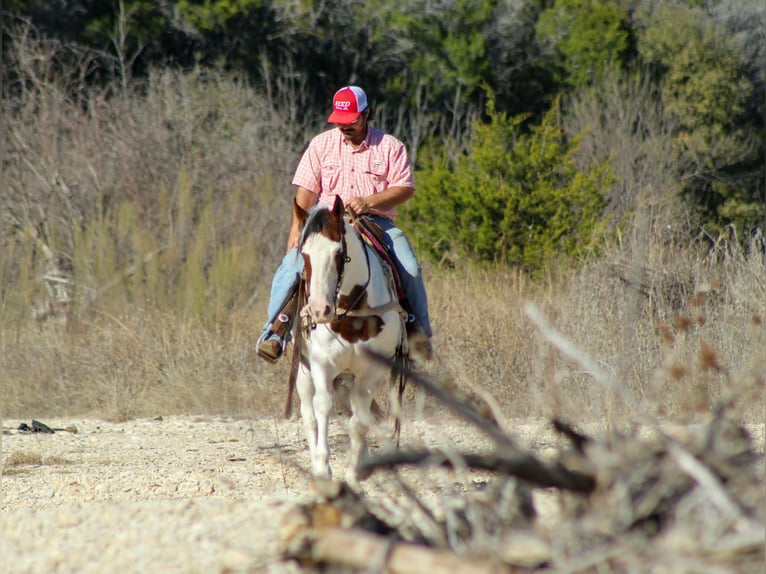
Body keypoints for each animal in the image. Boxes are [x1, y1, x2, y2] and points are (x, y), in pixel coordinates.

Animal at [291, 195, 408, 483]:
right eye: (304, 254)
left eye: (337, 254)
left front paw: (355, 472)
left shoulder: (372, 371)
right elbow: (323, 407)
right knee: (308, 412)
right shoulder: (322, 364)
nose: (319, 311)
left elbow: (360, 419)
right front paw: (323, 469)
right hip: (302, 371)